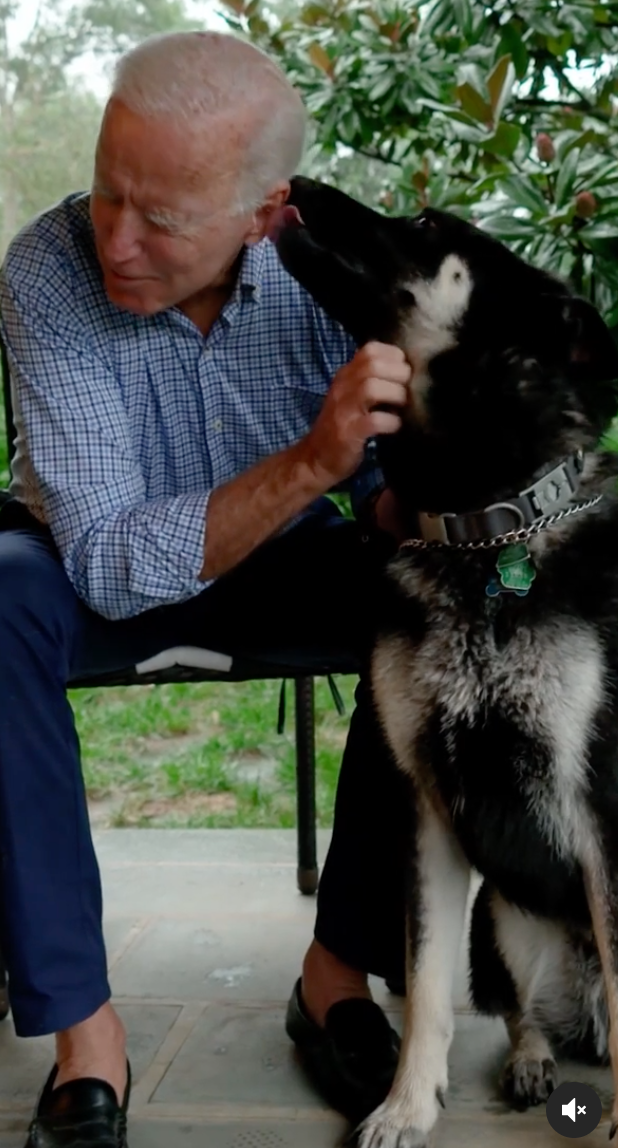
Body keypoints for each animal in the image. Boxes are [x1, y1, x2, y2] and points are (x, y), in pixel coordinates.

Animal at [272, 179, 615, 1148]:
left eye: (426, 227)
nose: (296, 186)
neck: (484, 533)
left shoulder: (601, 813)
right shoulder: (425, 805)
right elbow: (423, 985)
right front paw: (405, 1105)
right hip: (502, 923)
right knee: (517, 1008)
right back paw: (533, 1059)